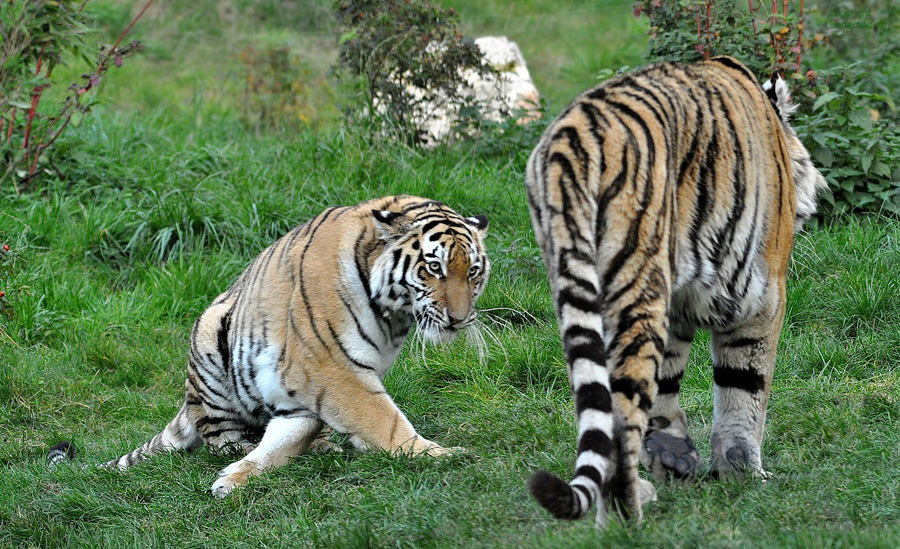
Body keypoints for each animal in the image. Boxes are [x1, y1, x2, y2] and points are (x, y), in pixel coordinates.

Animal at [52, 196, 488, 496]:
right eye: (434, 267)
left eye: (473, 272)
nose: (459, 319)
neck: (394, 314)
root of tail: (186, 402)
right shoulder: (331, 370)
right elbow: (384, 419)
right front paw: (443, 455)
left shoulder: (305, 393)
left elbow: (282, 443)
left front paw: (234, 480)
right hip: (211, 344)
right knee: (218, 439)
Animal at [524, 55, 828, 524]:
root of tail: (572, 136)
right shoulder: (762, 296)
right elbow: (745, 388)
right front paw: (744, 473)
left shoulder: (677, 302)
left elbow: (667, 384)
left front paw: (675, 456)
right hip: (638, 283)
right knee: (621, 413)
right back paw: (626, 515)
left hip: (584, 286)